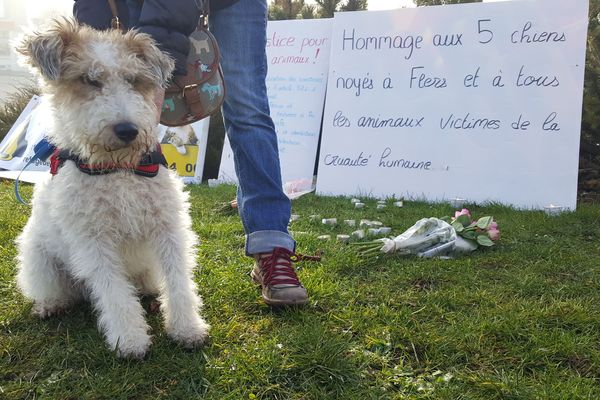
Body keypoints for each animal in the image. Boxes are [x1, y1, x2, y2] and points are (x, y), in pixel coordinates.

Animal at [15, 19, 210, 360]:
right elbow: (114, 293)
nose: (127, 130)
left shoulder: (168, 229)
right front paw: (130, 340)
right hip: (38, 256)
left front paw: (188, 329)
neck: (119, 170)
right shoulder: (94, 242)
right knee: (57, 289)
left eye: (133, 80)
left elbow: (179, 282)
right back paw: (50, 305)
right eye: (89, 80)